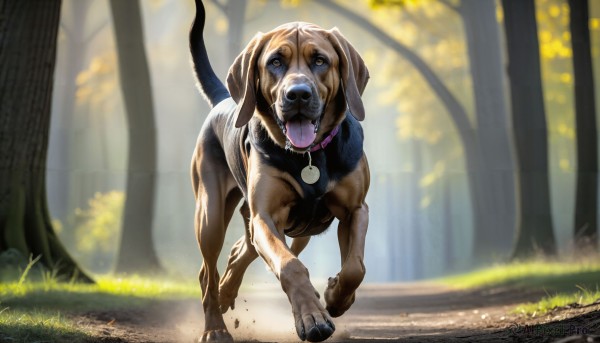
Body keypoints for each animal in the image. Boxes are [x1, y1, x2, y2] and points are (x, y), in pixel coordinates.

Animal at [190, 1, 368, 342]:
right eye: (275, 62)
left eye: (320, 60)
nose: (297, 94)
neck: (309, 156)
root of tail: (222, 100)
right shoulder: (266, 217)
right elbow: (291, 267)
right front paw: (313, 317)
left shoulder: (356, 210)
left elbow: (355, 267)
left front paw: (336, 296)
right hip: (211, 215)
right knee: (208, 271)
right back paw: (215, 325)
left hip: (291, 230)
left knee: (241, 250)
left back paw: (228, 291)